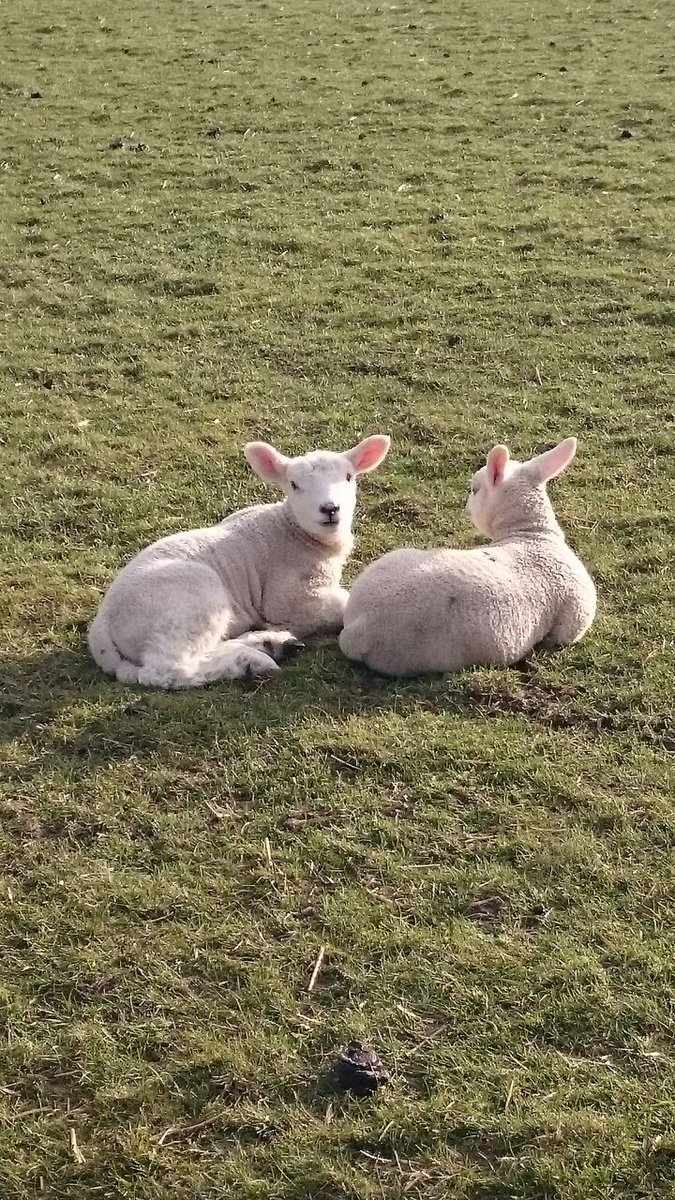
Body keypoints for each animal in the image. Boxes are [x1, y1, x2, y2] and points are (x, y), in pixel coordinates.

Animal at [88, 434, 391, 688]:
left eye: (349, 477)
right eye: (293, 485)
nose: (329, 509)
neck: (292, 531)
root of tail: (101, 626)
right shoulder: (291, 600)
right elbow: (344, 605)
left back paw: (267, 643)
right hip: (190, 601)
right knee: (165, 669)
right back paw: (249, 662)